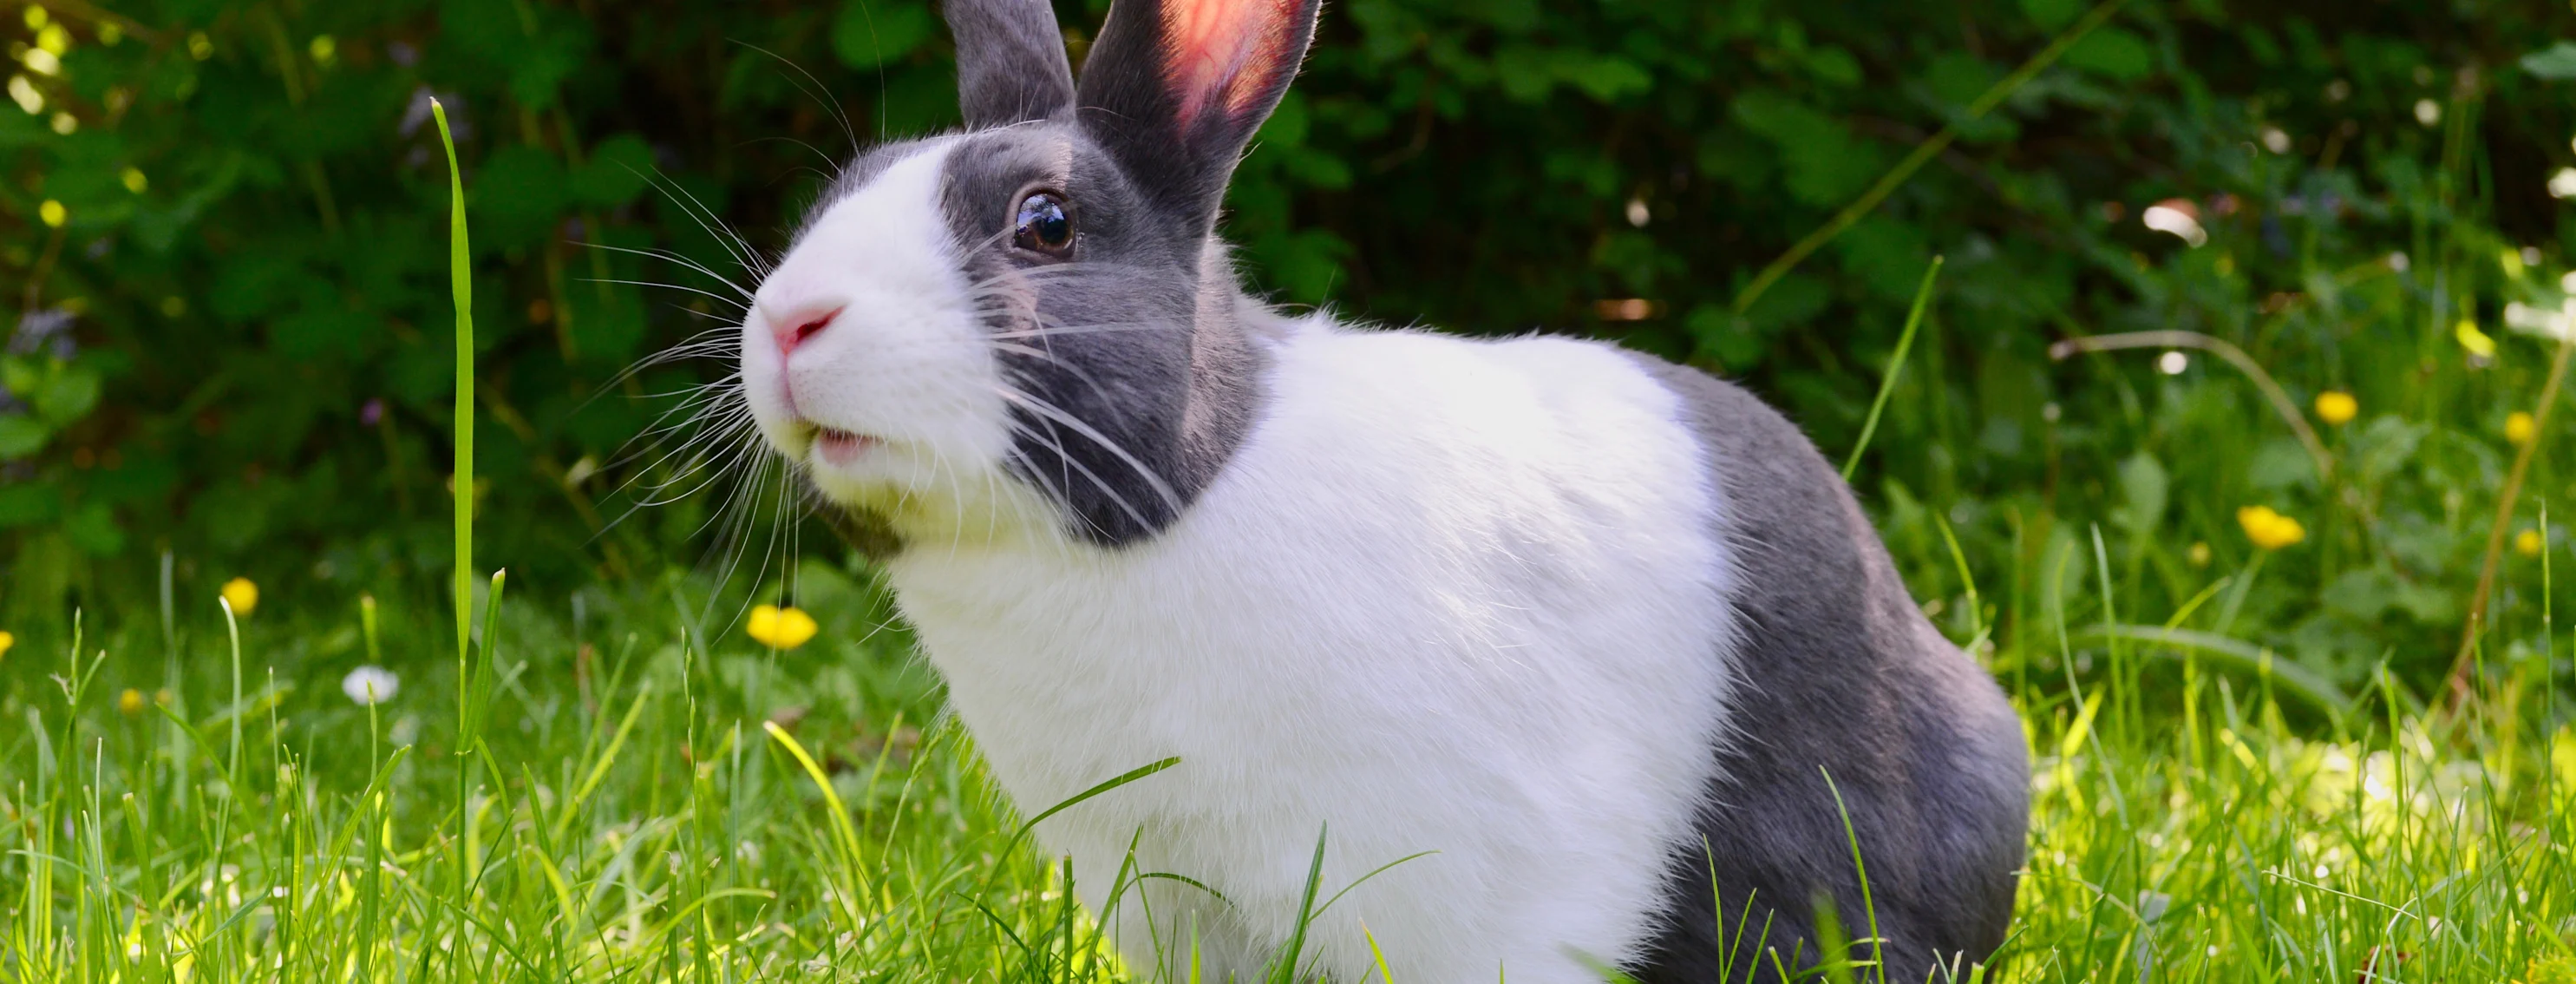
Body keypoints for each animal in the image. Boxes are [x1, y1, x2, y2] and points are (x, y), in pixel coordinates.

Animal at [731, 0, 2030, 979]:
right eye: (843, 187)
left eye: (1044, 224)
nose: (789, 323)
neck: (1183, 498)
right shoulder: (1169, 898)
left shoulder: (1476, 884)